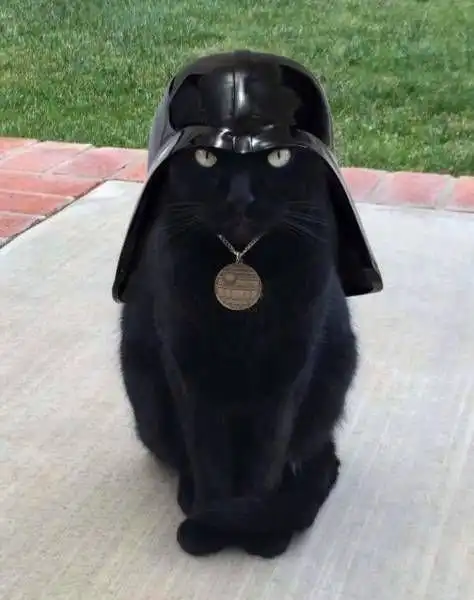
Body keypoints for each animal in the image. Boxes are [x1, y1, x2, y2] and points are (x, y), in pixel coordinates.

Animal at [119, 144, 358, 558]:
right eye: (206, 158)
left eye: (279, 158)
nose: (240, 199)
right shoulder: (190, 373)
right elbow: (208, 455)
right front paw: (209, 524)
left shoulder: (287, 378)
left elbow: (265, 458)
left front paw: (256, 528)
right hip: (147, 399)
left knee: (315, 456)